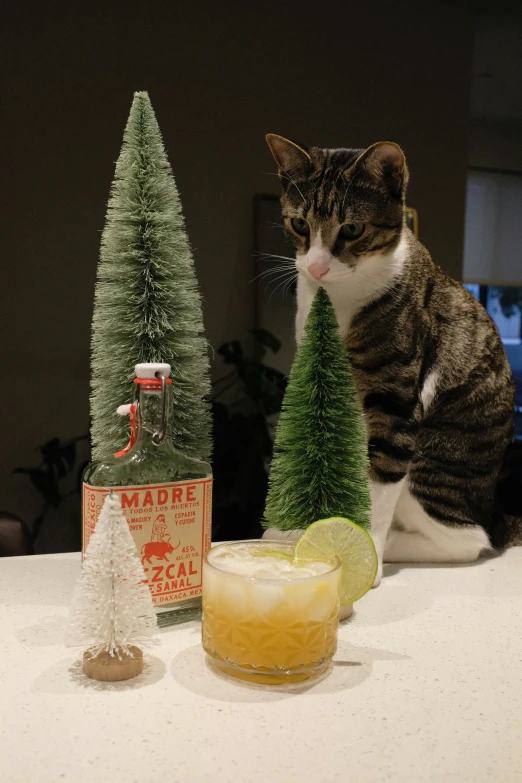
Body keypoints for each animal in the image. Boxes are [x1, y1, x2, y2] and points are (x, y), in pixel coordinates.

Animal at [262, 135, 512, 584]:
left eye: (352, 229)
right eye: (300, 225)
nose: (317, 268)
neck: (338, 298)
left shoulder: (396, 402)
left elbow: (377, 488)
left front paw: (366, 555)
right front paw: (304, 531)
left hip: (433, 461)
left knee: (467, 539)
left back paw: (395, 545)